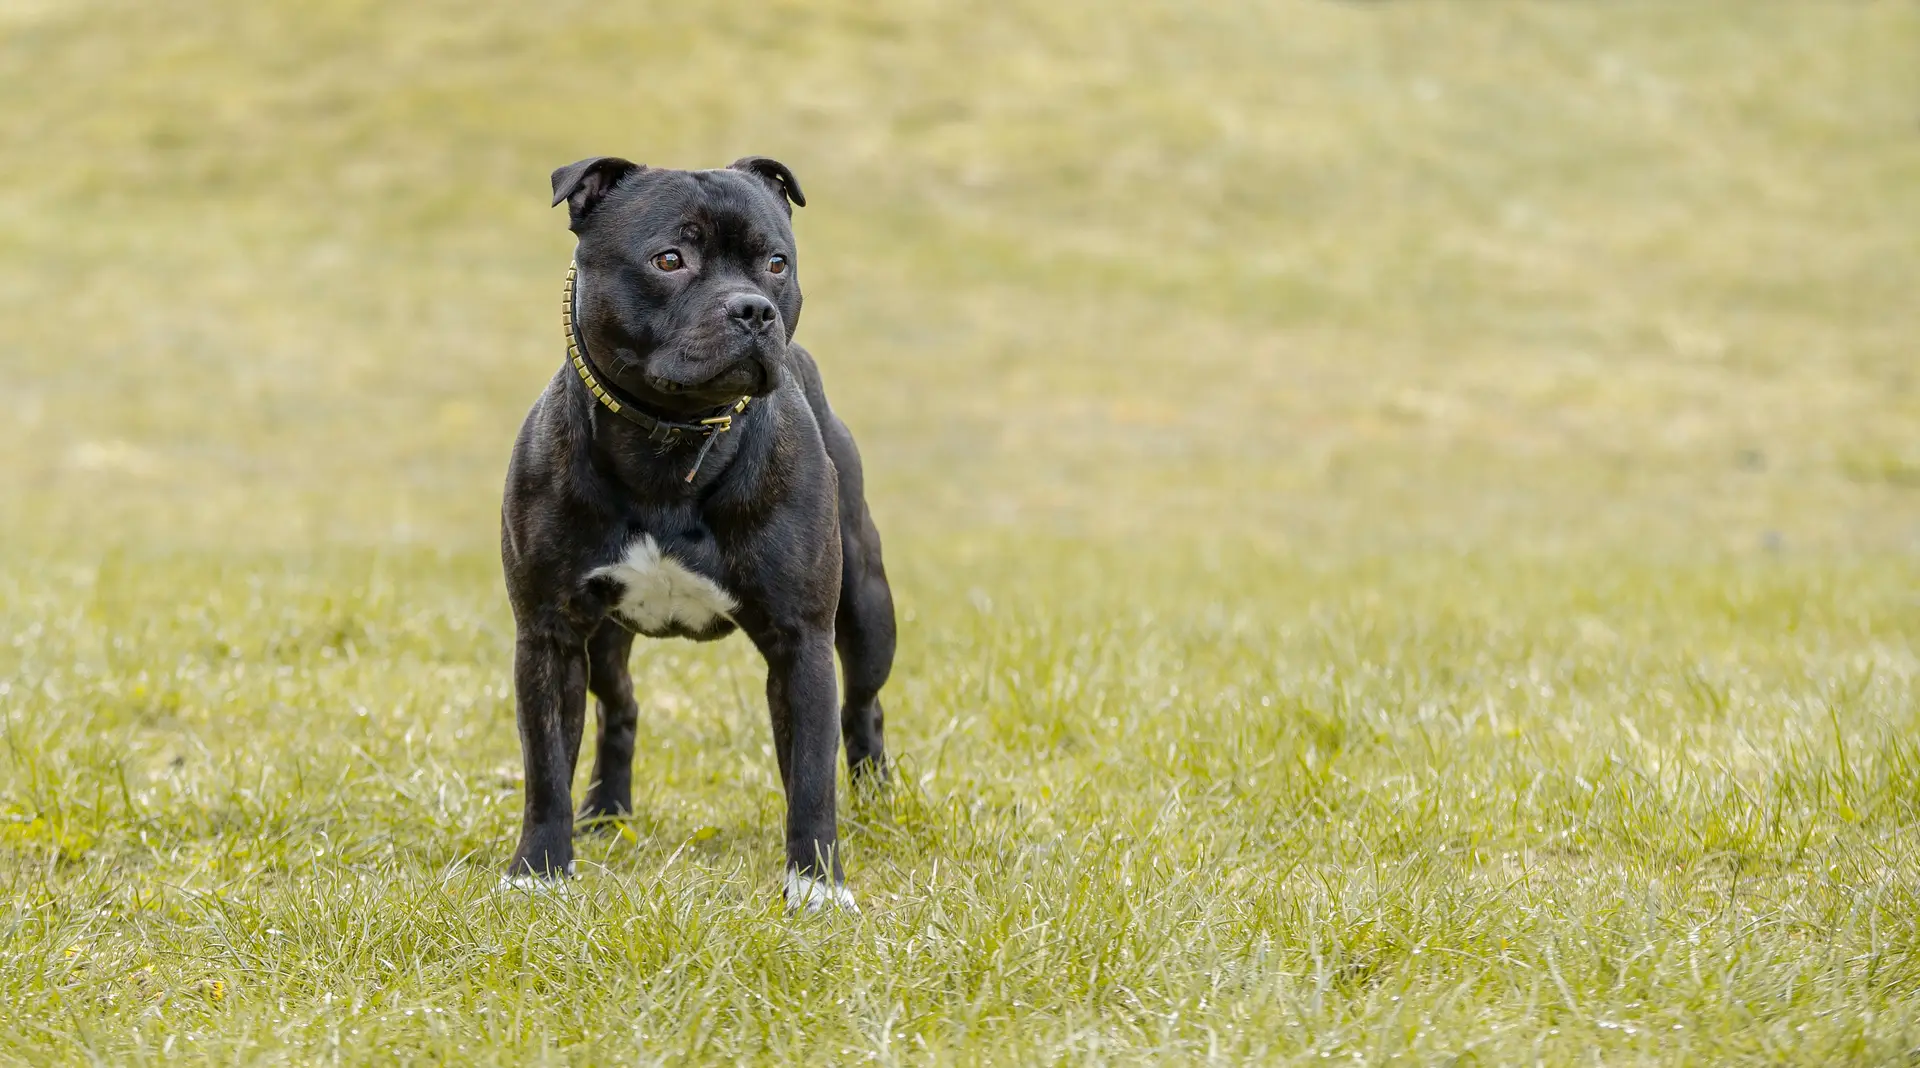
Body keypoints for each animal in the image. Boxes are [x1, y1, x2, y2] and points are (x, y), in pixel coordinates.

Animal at [499, 154, 894, 914]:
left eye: (776, 263)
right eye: (669, 259)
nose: (753, 309)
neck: (669, 443)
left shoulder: (803, 640)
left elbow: (812, 777)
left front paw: (816, 886)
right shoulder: (548, 635)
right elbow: (545, 768)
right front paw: (539, 871)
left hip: (866, 614)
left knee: (862, 712)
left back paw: (879, 805)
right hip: (603, 644)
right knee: (620, 709)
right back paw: (605, 816)